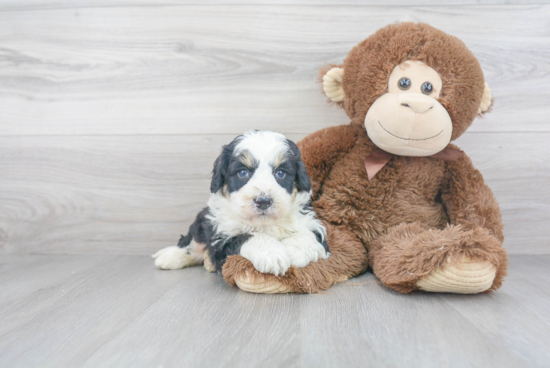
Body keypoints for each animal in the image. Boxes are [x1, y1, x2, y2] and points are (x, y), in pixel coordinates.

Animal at [153, 129, 330, 276]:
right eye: (243, 172)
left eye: (280, 173)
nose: (263, 201)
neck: (264, 224)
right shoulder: (221, 238)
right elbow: (246, 236)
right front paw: (272, 254)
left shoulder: (310, 221)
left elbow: (310, 234)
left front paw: (296, 251)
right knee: (192, 243)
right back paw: (169, 256)